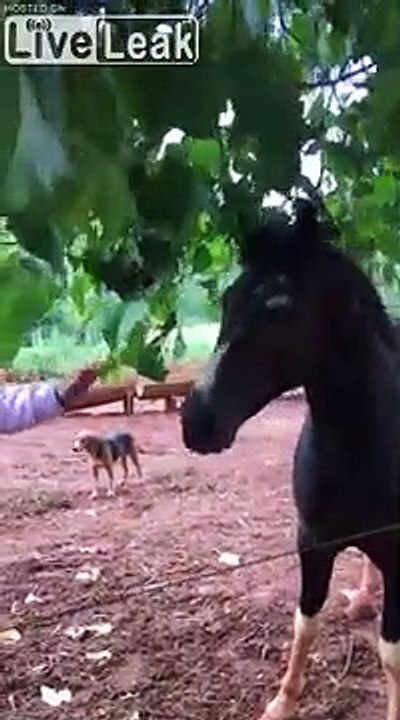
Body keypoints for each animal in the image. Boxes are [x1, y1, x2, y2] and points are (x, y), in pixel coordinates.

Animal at [181, 200, 400, 720]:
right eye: (227, 300)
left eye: (278, 308)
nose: (195, 421)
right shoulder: (312, 543)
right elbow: (305, 623)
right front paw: (282, 702)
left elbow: (391, 653)